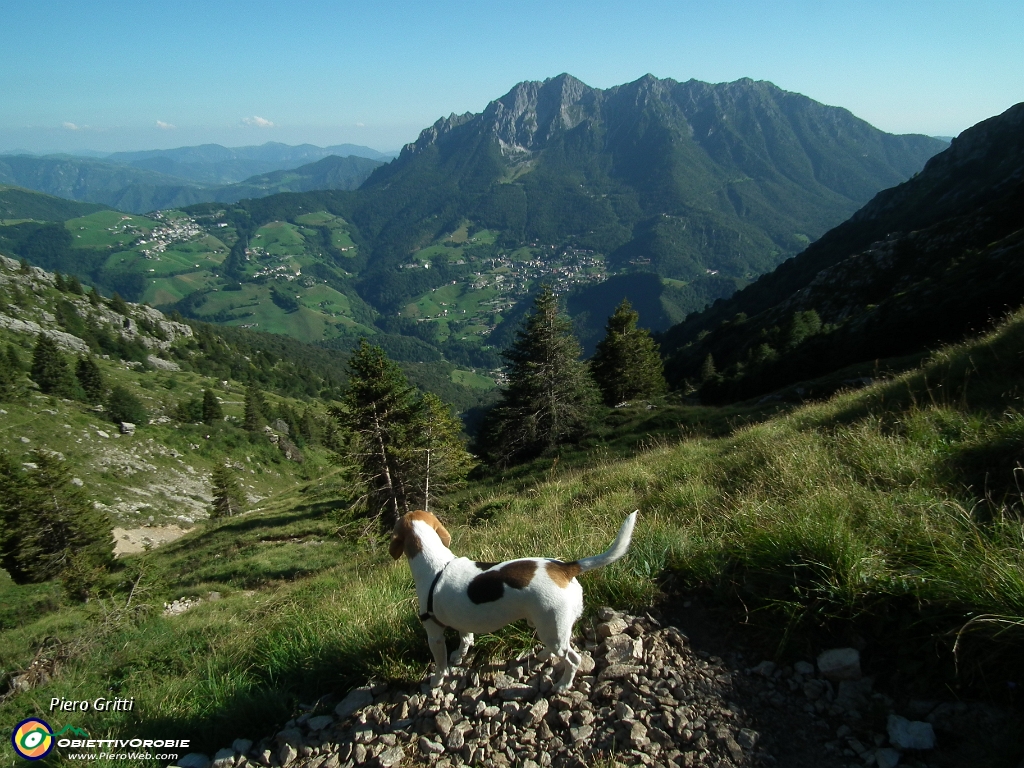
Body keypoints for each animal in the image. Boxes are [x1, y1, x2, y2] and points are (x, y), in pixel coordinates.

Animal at [387, 512, 634, 692]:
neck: (436, 563)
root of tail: (564, 568)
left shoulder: (434, 634)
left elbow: (440, 664)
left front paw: (437, 680)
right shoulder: (462, 623)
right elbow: (465, 639)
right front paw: (459, 655)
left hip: (552, 628)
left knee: (573, 659)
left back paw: (563, 685)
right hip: (550, 625)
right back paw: (545, 656)